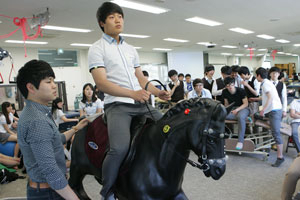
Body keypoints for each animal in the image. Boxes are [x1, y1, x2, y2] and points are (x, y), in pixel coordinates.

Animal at [69, 97, 231, 199]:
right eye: (211, 139)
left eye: (225, 135)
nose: (220, 170)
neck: (158, 160)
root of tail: (82, 121)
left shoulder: (175, 193)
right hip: (77, 169)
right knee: (75, 188)